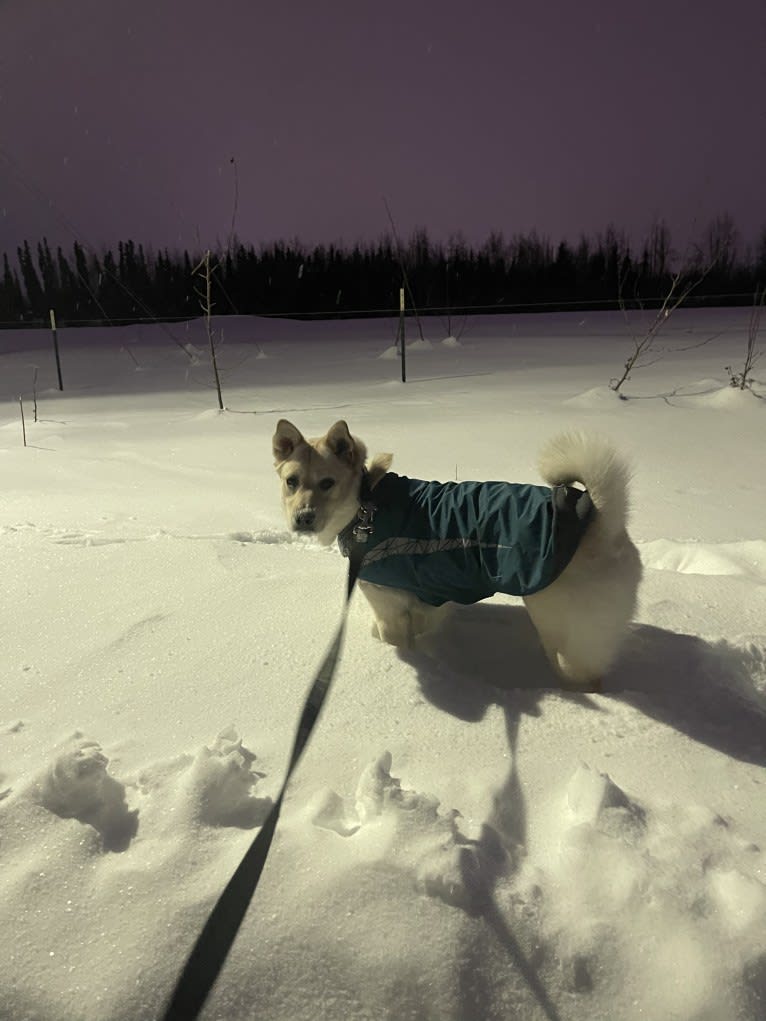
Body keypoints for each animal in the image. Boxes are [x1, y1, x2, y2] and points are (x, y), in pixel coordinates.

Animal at [273, 418, 645, 690]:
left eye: (327, 483)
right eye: (292, 481)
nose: (303, 519)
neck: (365, 502)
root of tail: (602, 523)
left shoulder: (389, 609)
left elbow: (394, 641)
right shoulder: (430, 601)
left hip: (562, 632)